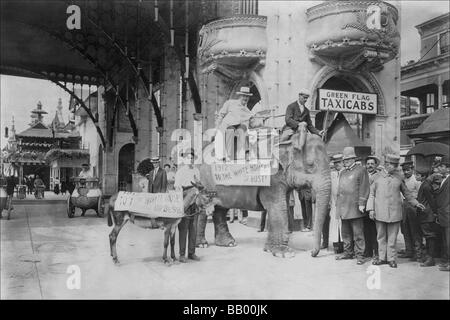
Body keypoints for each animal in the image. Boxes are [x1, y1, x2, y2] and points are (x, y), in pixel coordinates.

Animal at [196, 122, 330, 258]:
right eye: (311, 165)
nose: (312, 254)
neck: (288, 140)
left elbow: (282, 206)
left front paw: (269, 250)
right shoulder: (271, 176)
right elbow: (278, 206)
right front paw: (285, 253)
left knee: (221, 209)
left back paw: (228, 243)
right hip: (203, 181)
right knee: (204, 208)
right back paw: (202, 244)